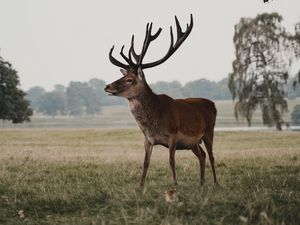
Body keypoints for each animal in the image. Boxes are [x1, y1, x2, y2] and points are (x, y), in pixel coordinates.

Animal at [105, 14, 218, 186]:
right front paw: (140, 187)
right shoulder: (148, 139)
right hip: (193, 143)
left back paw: (216, 183)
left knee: (211, 155)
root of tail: (212, 104)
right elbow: (145, 163)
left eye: (130, 79)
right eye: (124, 76)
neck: (154, 122)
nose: (107, 86)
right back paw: (201, 184)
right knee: (202, 155)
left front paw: (175, 185)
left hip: (209, 131)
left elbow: (171, 161)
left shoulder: (173, 135)